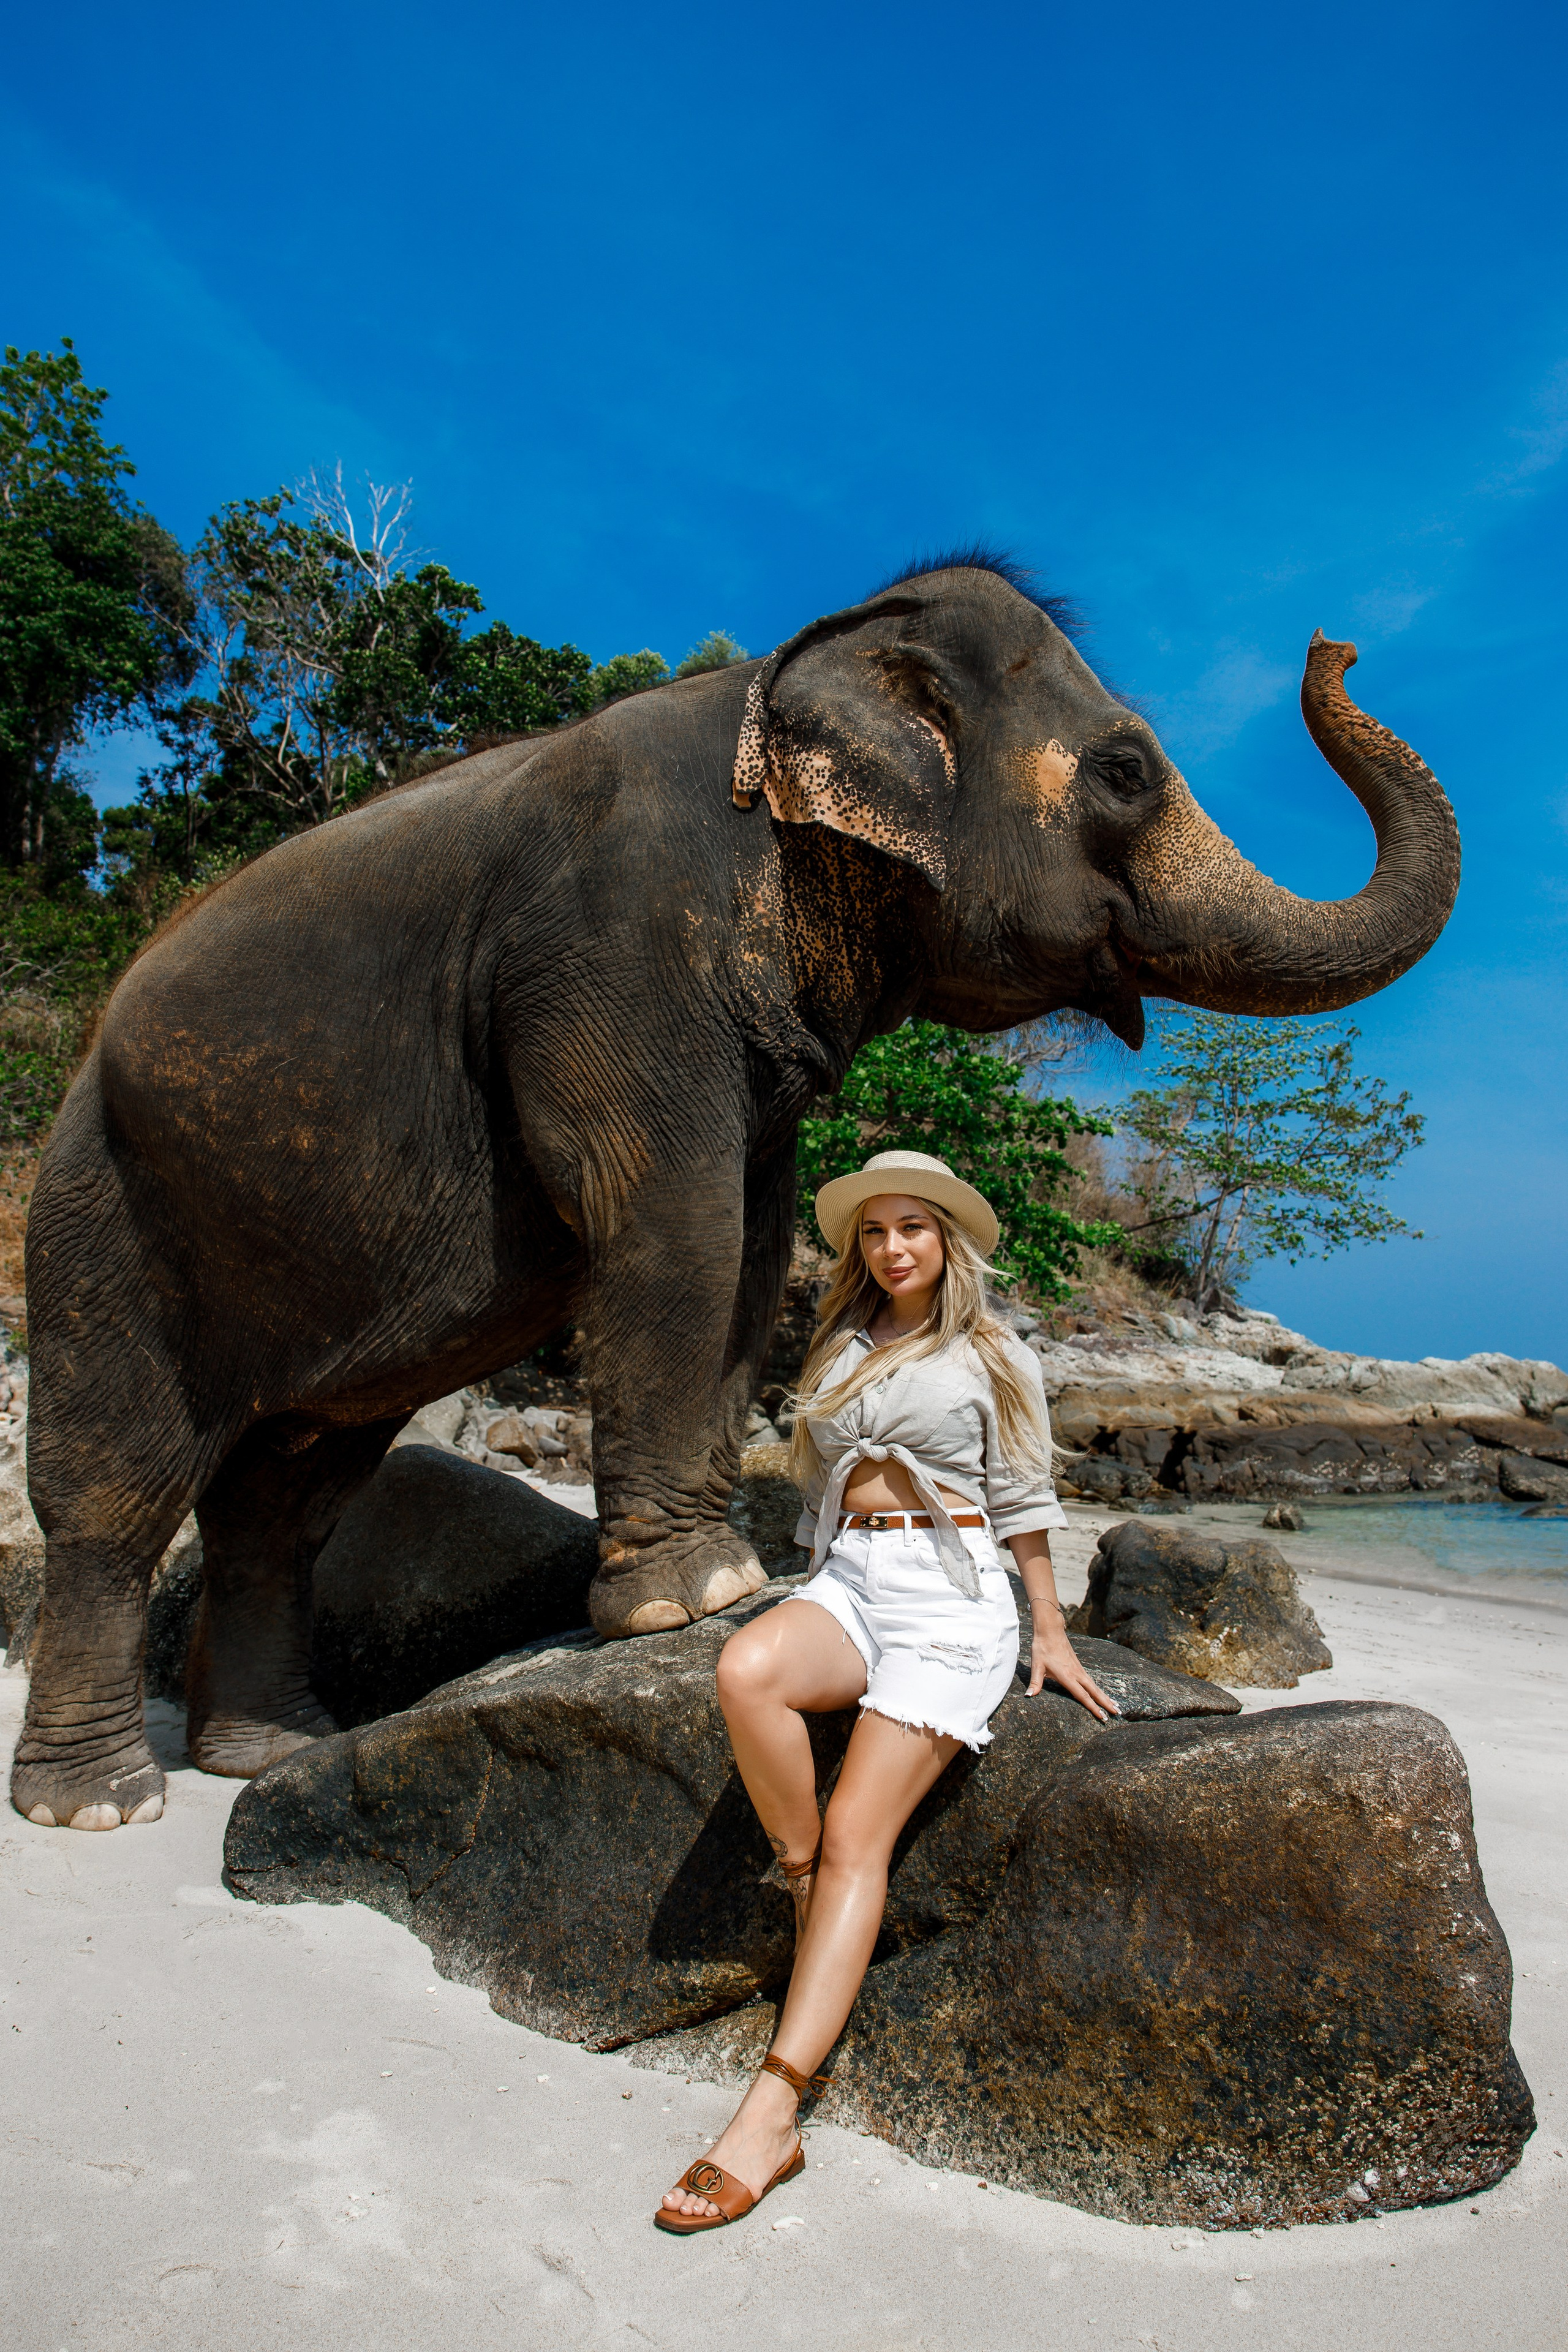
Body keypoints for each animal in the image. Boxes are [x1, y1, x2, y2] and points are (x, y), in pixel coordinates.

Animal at [10, 555, 1459, 1829]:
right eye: (1124, 771)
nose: (1333, 643)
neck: (794, 676)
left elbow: (756, 1249)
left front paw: (726, 1580)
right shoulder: (615, 947)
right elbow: (674, 1225)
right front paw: (695, 1602)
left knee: (288, 1496)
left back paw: (263, 1757)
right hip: (101, 1204)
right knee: (113, 1498)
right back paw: (101, 1807)